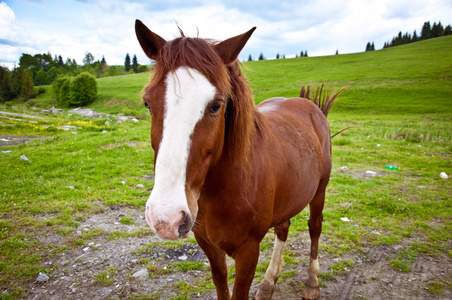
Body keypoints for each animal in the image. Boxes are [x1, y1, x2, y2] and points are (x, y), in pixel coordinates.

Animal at [136, 19, 344, 298]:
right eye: (148, 103)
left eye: (216, 105)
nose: (165, 218)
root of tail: (311, 108)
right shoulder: (208, 245)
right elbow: (221, 282)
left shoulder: (248, 251)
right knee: (283, 228)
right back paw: (268, 282)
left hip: (319, 191)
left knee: (315, 227)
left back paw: (312, 282)